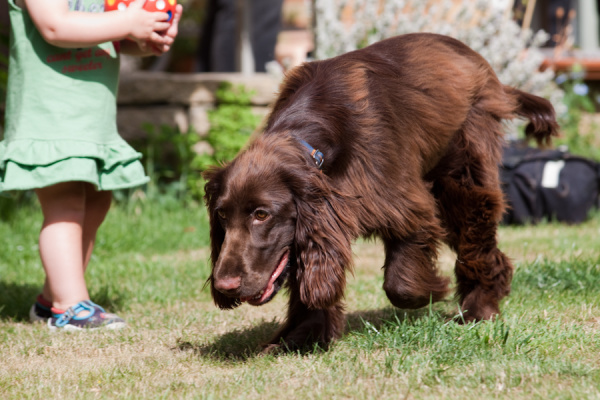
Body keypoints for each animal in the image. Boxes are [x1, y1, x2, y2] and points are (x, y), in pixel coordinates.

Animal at [204, 32, 560, 350]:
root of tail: (481, 64)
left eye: (262, 214)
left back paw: (480, 308)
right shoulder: (323, 222)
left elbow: (399, 285)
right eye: (222, 215)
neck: (315, 145)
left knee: (477, 239)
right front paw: (299, 338)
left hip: (463, 175)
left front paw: (433, 290)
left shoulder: (405, 204)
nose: (225, 285)